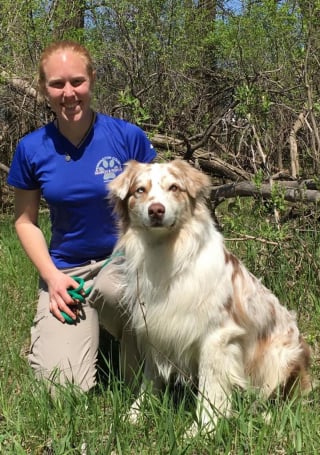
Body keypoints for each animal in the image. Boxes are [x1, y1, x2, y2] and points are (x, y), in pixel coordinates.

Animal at [109, 160, 312, 434]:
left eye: (174, 187)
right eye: (140, 190)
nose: (156, 210)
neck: (167, 252)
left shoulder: (217, 338)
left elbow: (211, 389)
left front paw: (202, 430)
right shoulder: (154, 327)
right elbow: (150, 379)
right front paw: (135, 414)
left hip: (279, 357)